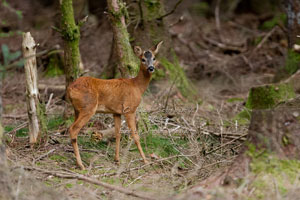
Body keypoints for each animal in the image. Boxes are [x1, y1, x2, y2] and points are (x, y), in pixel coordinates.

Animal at [66, 41, 163, 170]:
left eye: (154, 58)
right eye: (143, 59)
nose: (151, 68)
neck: (136, 86)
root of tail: (70, 89)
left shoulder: (116, 112)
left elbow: (118, 134)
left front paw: (117, 160)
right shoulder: (129, 109)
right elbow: (135, 135)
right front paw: (146, 161)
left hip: (77, 109)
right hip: (89, 108)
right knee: (73, 129)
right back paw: (81, 165)